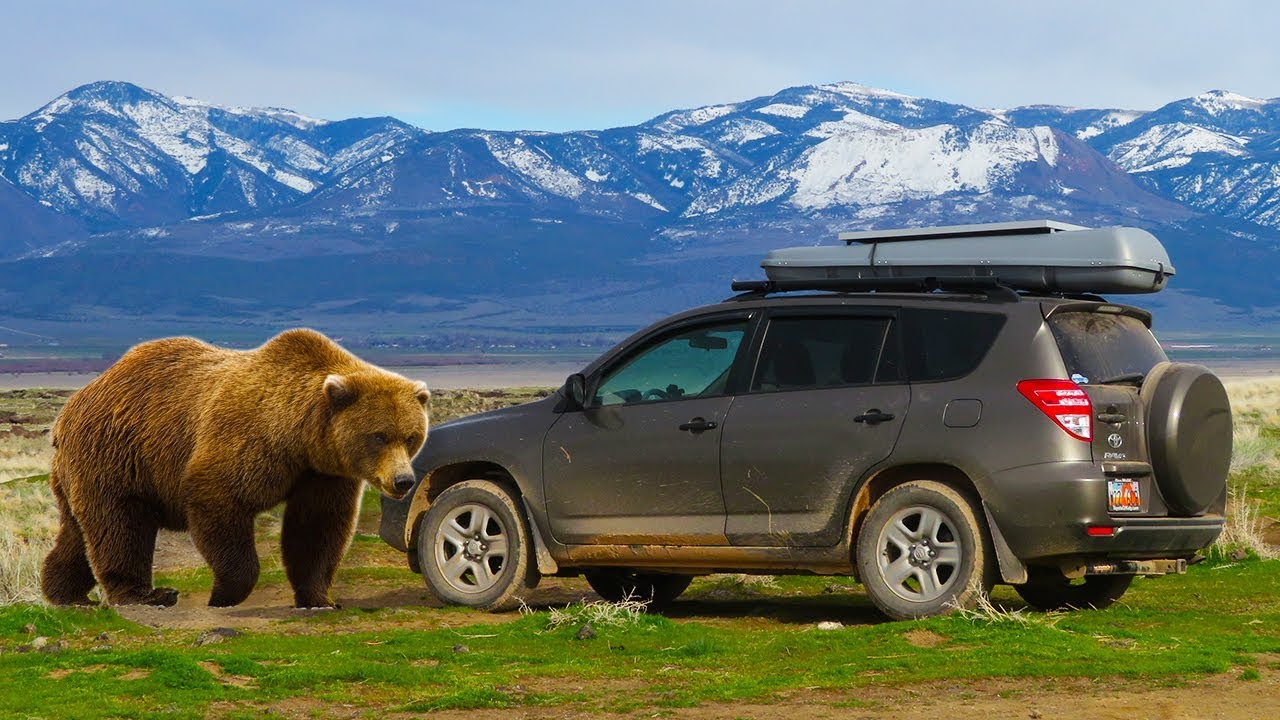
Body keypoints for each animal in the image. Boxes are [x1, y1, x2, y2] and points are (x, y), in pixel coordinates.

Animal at [41, 330, 430, 604]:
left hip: (83, 470)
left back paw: (64, 592)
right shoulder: (247, 440)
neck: (299, 436)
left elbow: (317, 528)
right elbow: (218, 499)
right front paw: (224, 593)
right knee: (120, 525)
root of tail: (71, 407)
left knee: (77, 532)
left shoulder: (322, 473)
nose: (403, 480)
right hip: (117, 455)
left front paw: (318, 597)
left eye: (411, 436)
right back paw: (145, 594)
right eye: (379, 436)